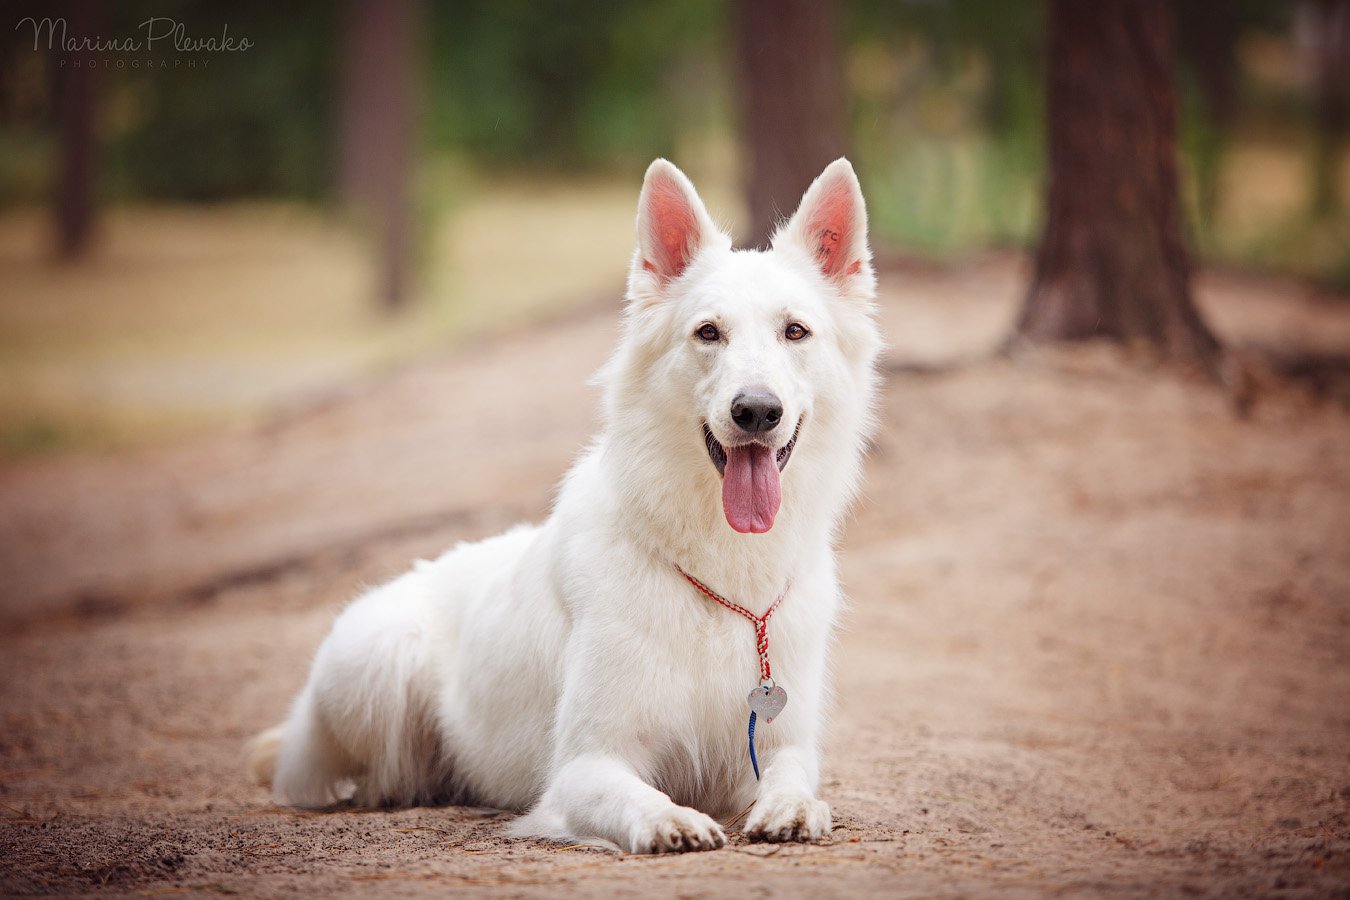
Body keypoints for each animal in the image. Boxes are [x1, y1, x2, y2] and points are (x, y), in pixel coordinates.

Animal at [251, 158, 885, 858]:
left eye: (795, 331)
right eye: (708, 332)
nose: (756, 411)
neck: (721, 578)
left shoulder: (780, 743)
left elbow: (794, 777)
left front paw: (793, 808)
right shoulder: (586, 764)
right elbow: (635, 796)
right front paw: (671, 821)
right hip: (378, 662)